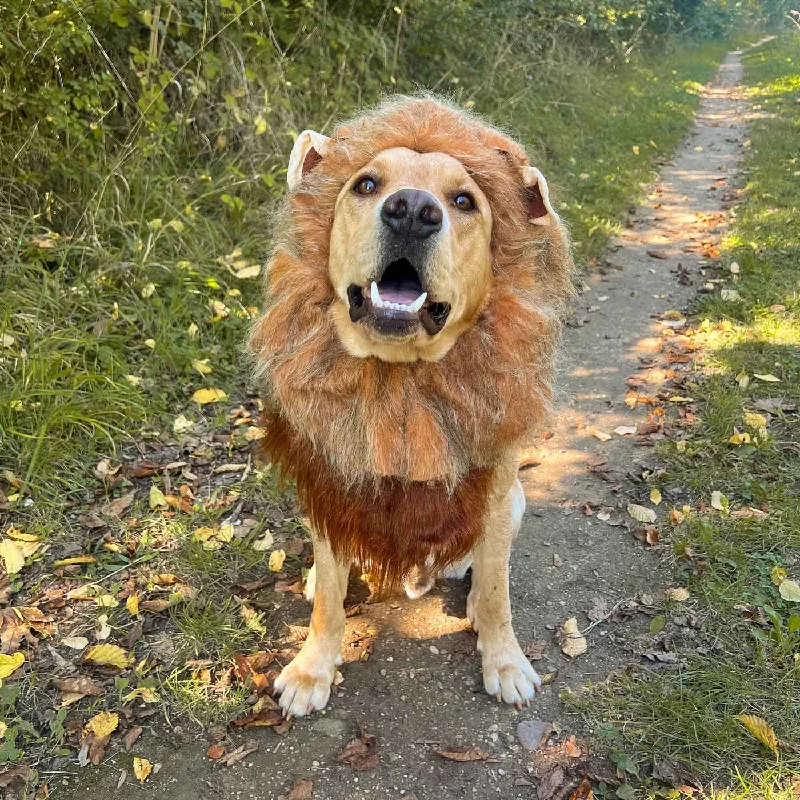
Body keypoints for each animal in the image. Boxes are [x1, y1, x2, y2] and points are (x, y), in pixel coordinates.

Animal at [247, 95, 572, 720]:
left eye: (464, 200)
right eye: (367, 184)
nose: (413, 212)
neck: (399, 381)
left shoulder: (496, 490)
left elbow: (498, 596)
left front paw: (504, 662)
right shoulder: (332, 480)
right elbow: (328, 603)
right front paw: (312, 670)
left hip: (513, 502)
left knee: (483, 567)